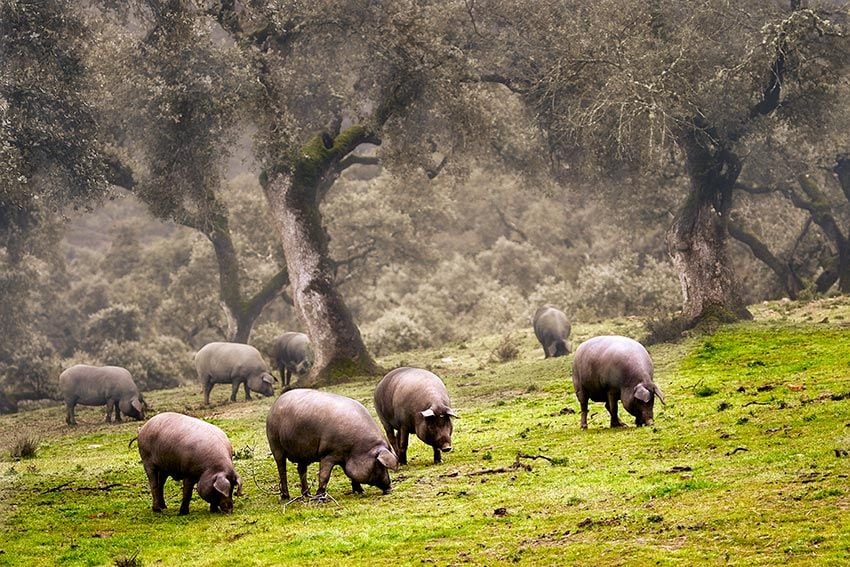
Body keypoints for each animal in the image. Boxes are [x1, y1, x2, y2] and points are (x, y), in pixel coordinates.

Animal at [264, 390, 398, 502]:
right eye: (379, 464)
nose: (390, 488)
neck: (356, 448)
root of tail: (275, 404)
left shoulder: (344, 458)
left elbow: (351, 475)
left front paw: (360, 491)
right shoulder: (328, 454)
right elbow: (324, 476)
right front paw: (320, 497)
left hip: (302, 452)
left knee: (301, 469)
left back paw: (307, 495)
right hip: (275, 443)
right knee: (282, 469)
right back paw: (286, 497)